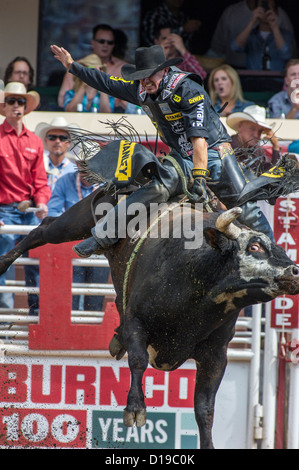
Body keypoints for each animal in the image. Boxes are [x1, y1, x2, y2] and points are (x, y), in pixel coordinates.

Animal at [0, 187, 299, 448]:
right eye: (255, 247)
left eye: (282, 250)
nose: (294, 271)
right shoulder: (136, 322)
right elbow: (138, 360)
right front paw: (135, 408)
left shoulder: (217, 354)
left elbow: (205, 407)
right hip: (80, 218)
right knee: (45, 227)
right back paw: (5, 261)